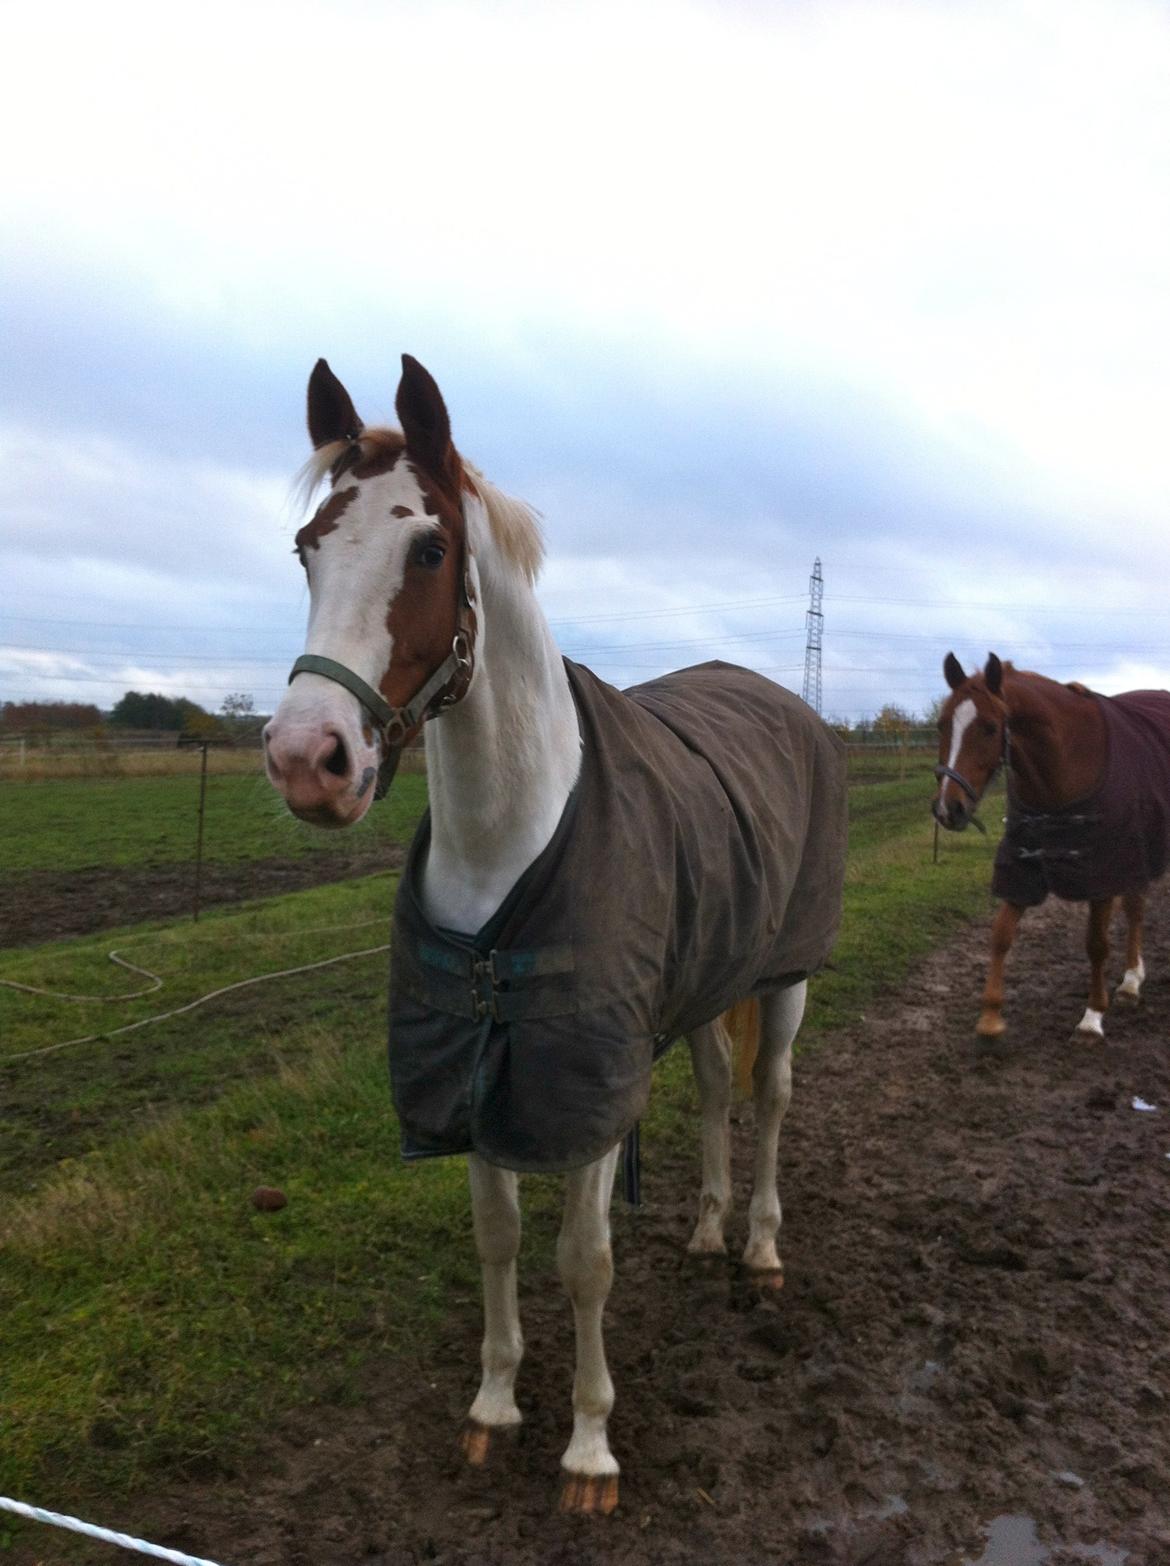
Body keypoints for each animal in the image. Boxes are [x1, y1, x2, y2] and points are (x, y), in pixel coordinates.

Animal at [263, 358, 852, 1515]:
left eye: (428, 548)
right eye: (309, 546)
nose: (309, 758)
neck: (510, 844)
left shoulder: (589, 1090)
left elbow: (585, 1260)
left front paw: (588, 1449)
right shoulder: (472, 1067)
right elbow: (497, 1238)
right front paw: (493, 1408)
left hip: (786, 975)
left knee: (769, 1099)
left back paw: (759, 1249)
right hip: (705, 985)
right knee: (714, 1092)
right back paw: (708, 1230)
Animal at [933, 651, 1170, 1039]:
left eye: (989, 727)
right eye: (941, 725)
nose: (947, 809)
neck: (1066, 763)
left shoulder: (1102, 872)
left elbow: (1096, 944)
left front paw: (1092, 1017)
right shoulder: (1023, 866)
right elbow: (1000, 934)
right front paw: (990, 1017)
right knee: (1136, 908)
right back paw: (1132, 982)